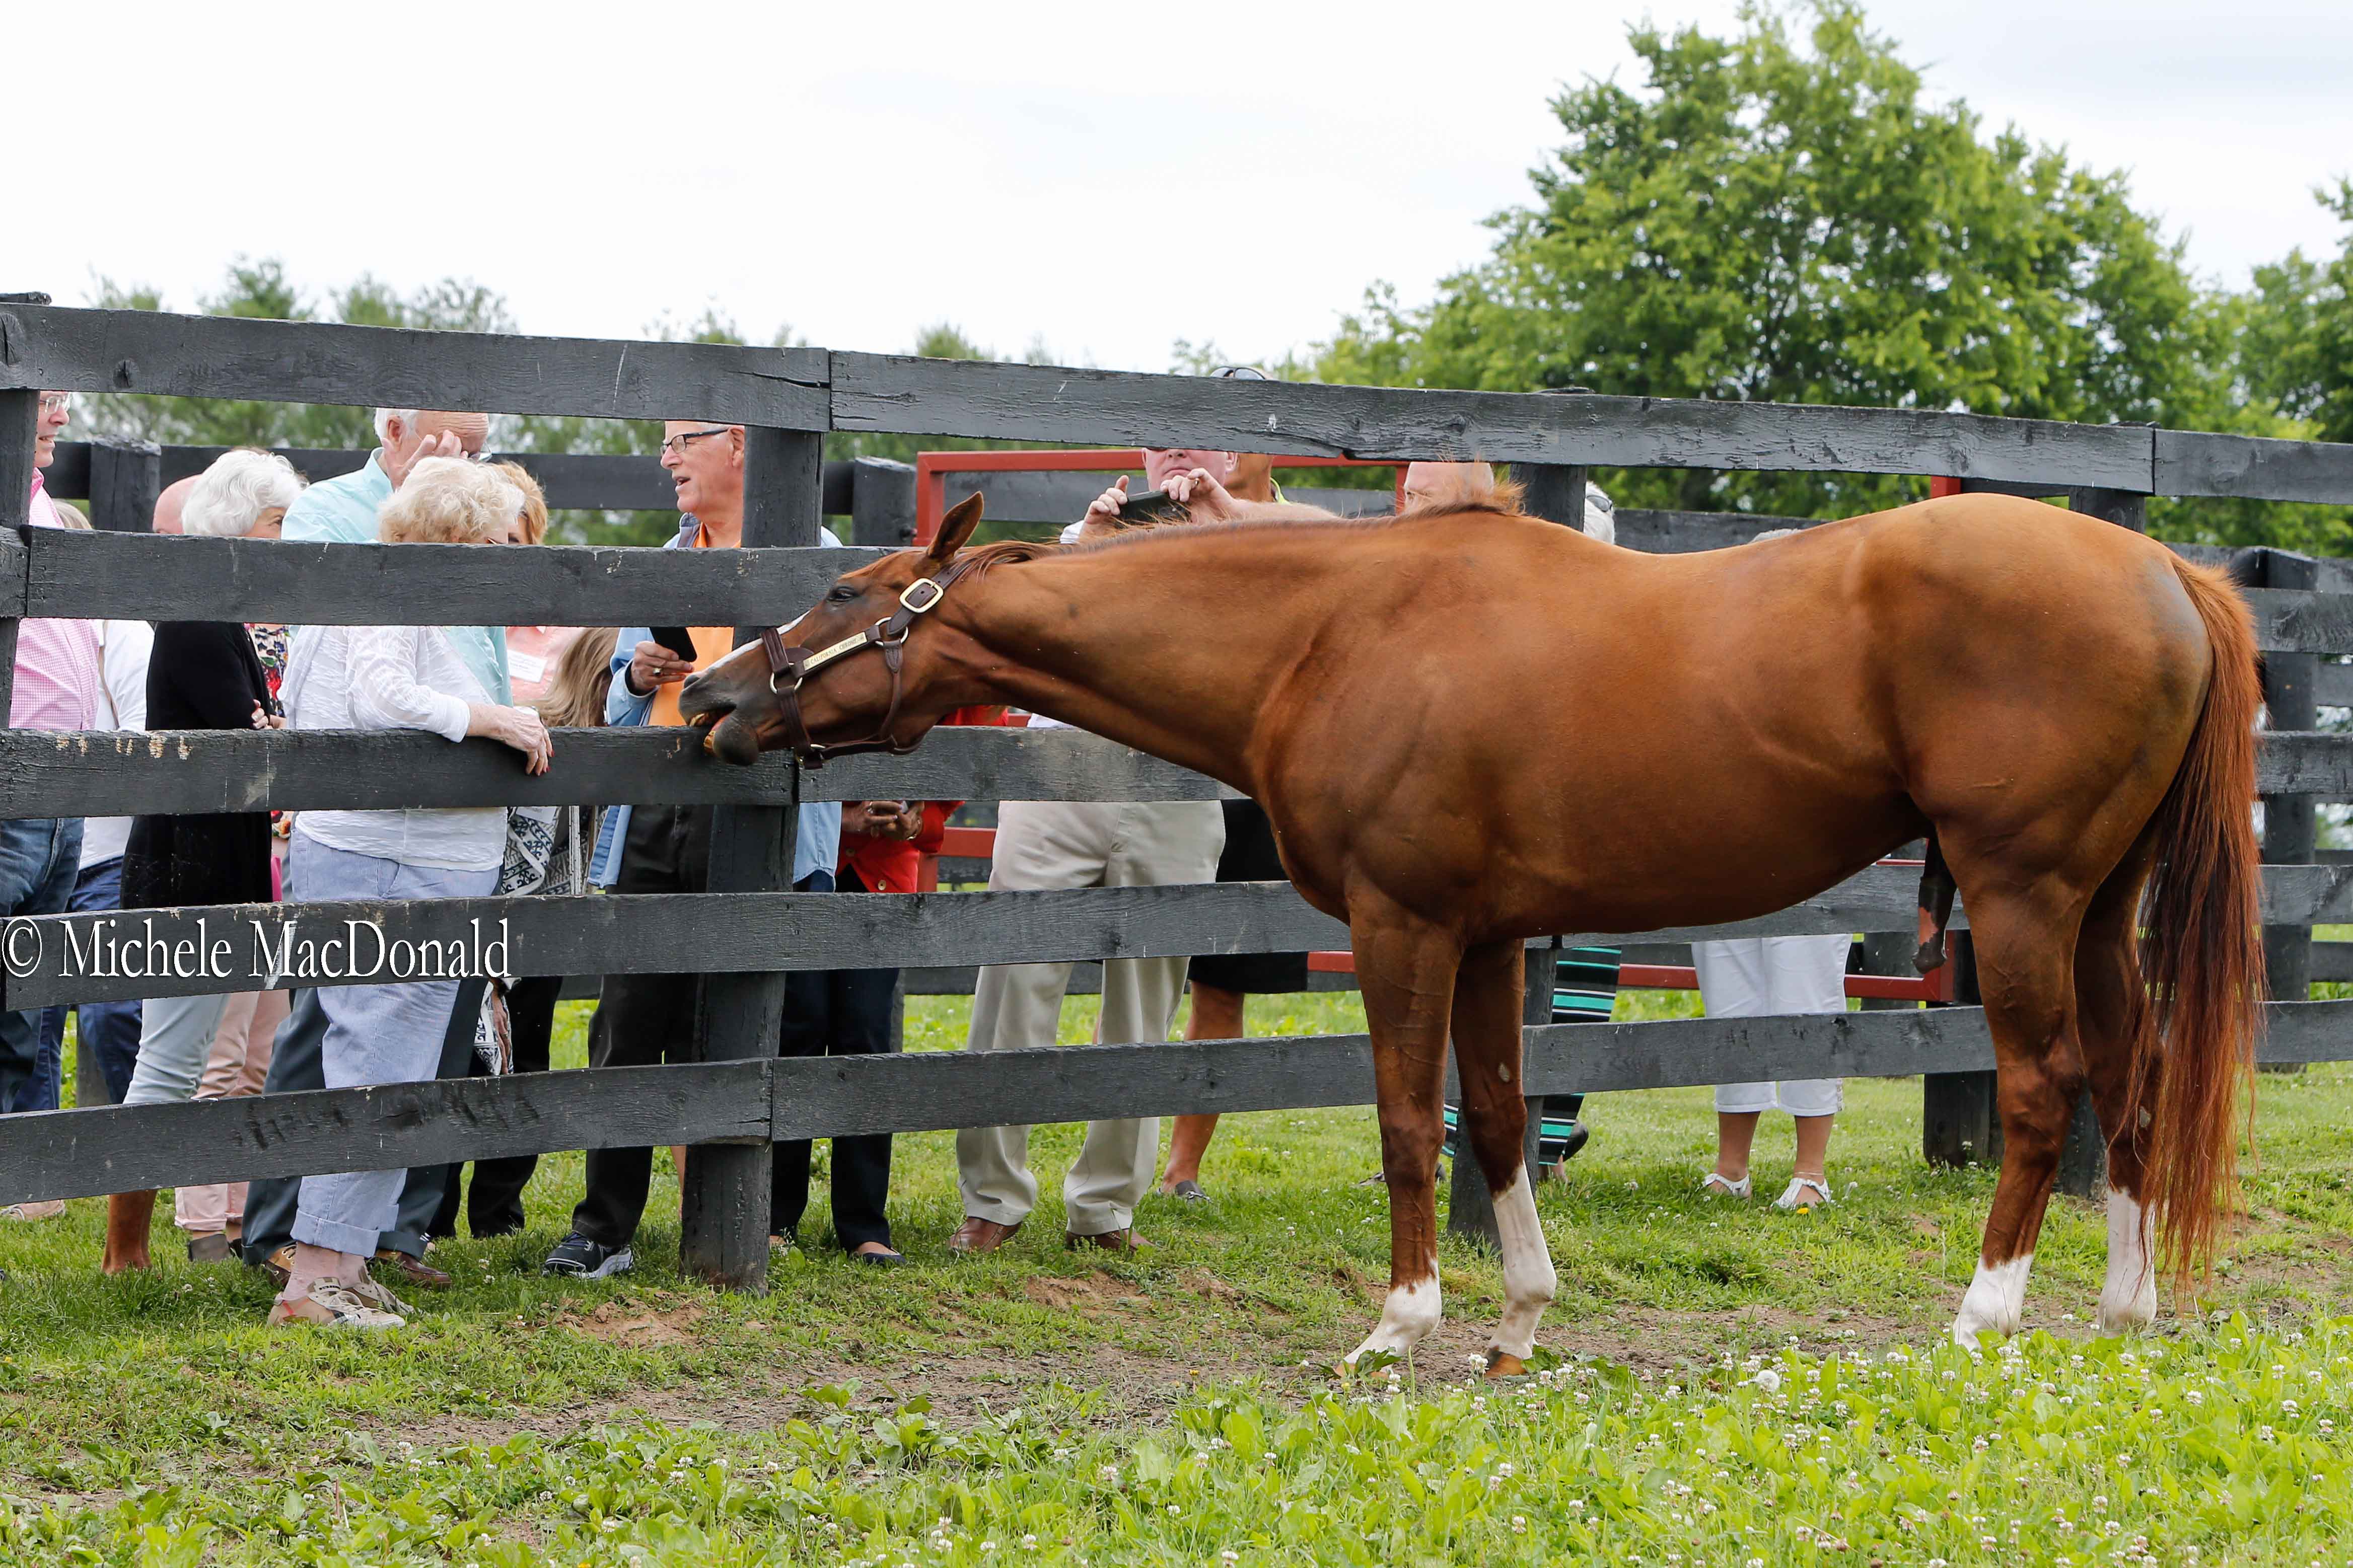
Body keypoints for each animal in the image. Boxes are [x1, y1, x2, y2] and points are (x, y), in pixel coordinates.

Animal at [682, 493, 2259, 1373]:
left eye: (843, 593)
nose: (713, 697)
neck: (1332, 632)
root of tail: (2167, 573)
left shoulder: (1407, 927)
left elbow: (1401, 1122)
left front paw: (1398, 1326)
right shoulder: (1499, 940)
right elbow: (1494, 1120)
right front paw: (1516, 1323)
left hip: (2022, 895)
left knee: (2046, 1090)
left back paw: (1984, 1318)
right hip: (2098, 910)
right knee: (2131, 1083)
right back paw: (2122, 1311)